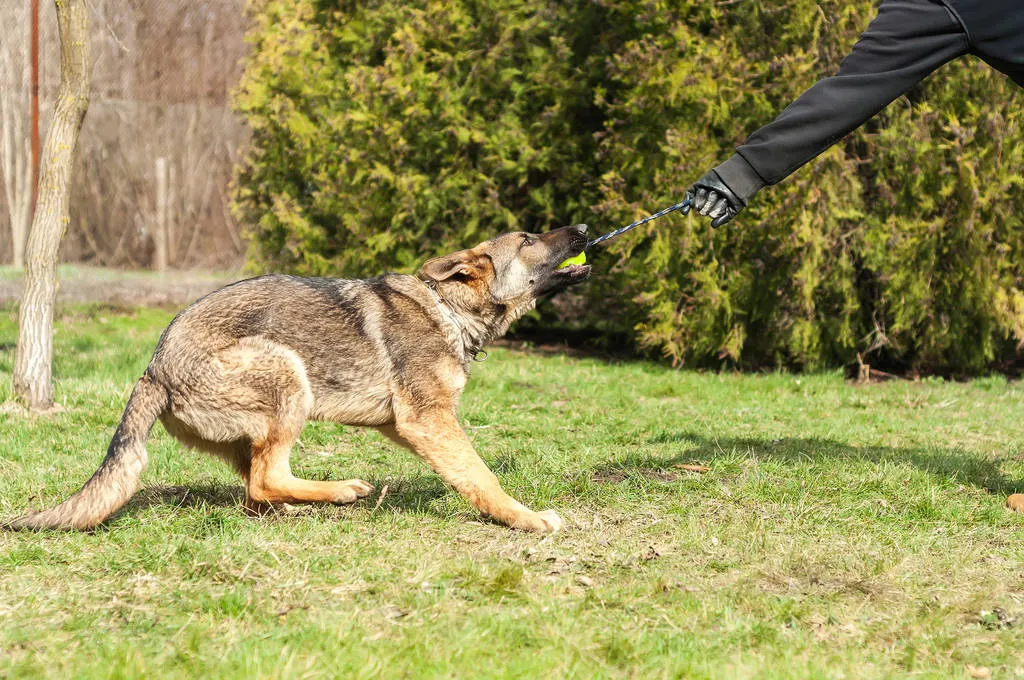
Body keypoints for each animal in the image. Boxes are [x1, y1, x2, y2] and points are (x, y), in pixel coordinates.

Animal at [6, 225, 593, 532]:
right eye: (529, 240)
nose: (585, 229)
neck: (448, 309)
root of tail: (155, 369)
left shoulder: (409, 426)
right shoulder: (428, 420)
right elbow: (481, 476)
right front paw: (523, 518)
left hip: (259, 422)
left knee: (255, 487)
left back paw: (299, 504)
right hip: (289, 375)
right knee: (266, 478)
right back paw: (339, 490)